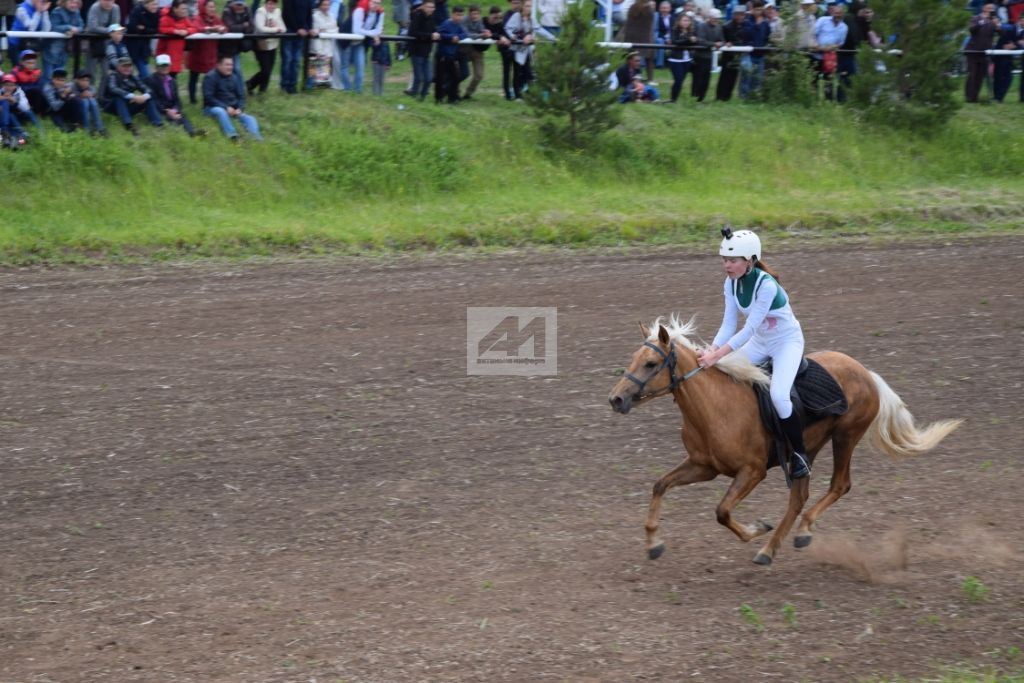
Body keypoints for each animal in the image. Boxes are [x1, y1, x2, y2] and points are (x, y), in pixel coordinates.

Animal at [606, 317, 958, 569]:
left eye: (651, 364)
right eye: (633, 358)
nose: (616, 399)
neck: (714, 407)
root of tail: (866, 373)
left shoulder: (752, 471)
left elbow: (722, 510)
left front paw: (756, 528)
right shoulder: (703, 466)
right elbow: (660, 485)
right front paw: (653, 543)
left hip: (845, 437)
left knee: (839, 485)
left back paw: (794, 535)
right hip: (808, 448)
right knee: (799, 496)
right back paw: (773, 547)